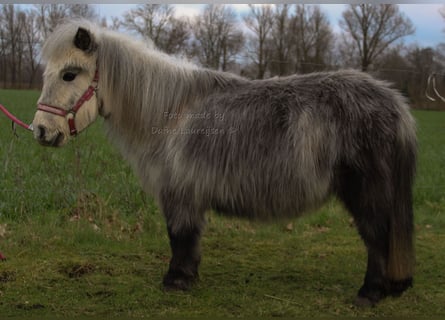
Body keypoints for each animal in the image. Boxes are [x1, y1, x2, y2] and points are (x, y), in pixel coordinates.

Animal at [32, 20, 416, 308]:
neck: (169, 112)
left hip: (366, 192)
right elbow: (189, 240)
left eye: (69, 74)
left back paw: (370, 293)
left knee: (378, 236)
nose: (40, 130)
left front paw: (176, 280)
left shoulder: (178, 194)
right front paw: (187, 277)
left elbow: (180, 237)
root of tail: (394, 104)